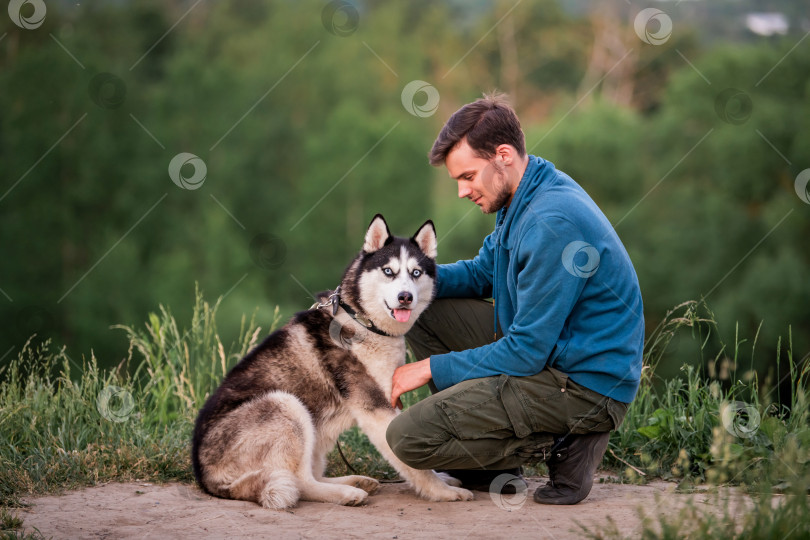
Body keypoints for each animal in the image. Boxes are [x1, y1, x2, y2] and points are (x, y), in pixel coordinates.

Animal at [190, 213, 474, 508]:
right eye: (388, 271)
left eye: (416, 273)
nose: (405, 297)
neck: (363, 323)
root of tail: (205, 477)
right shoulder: (375, 408)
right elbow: (412, 464)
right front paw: (441, 491)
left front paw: (442, 479)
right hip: (287, 405)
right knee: (301, 482)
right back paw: (347, 493)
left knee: (311, 474)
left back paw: (355, 481)